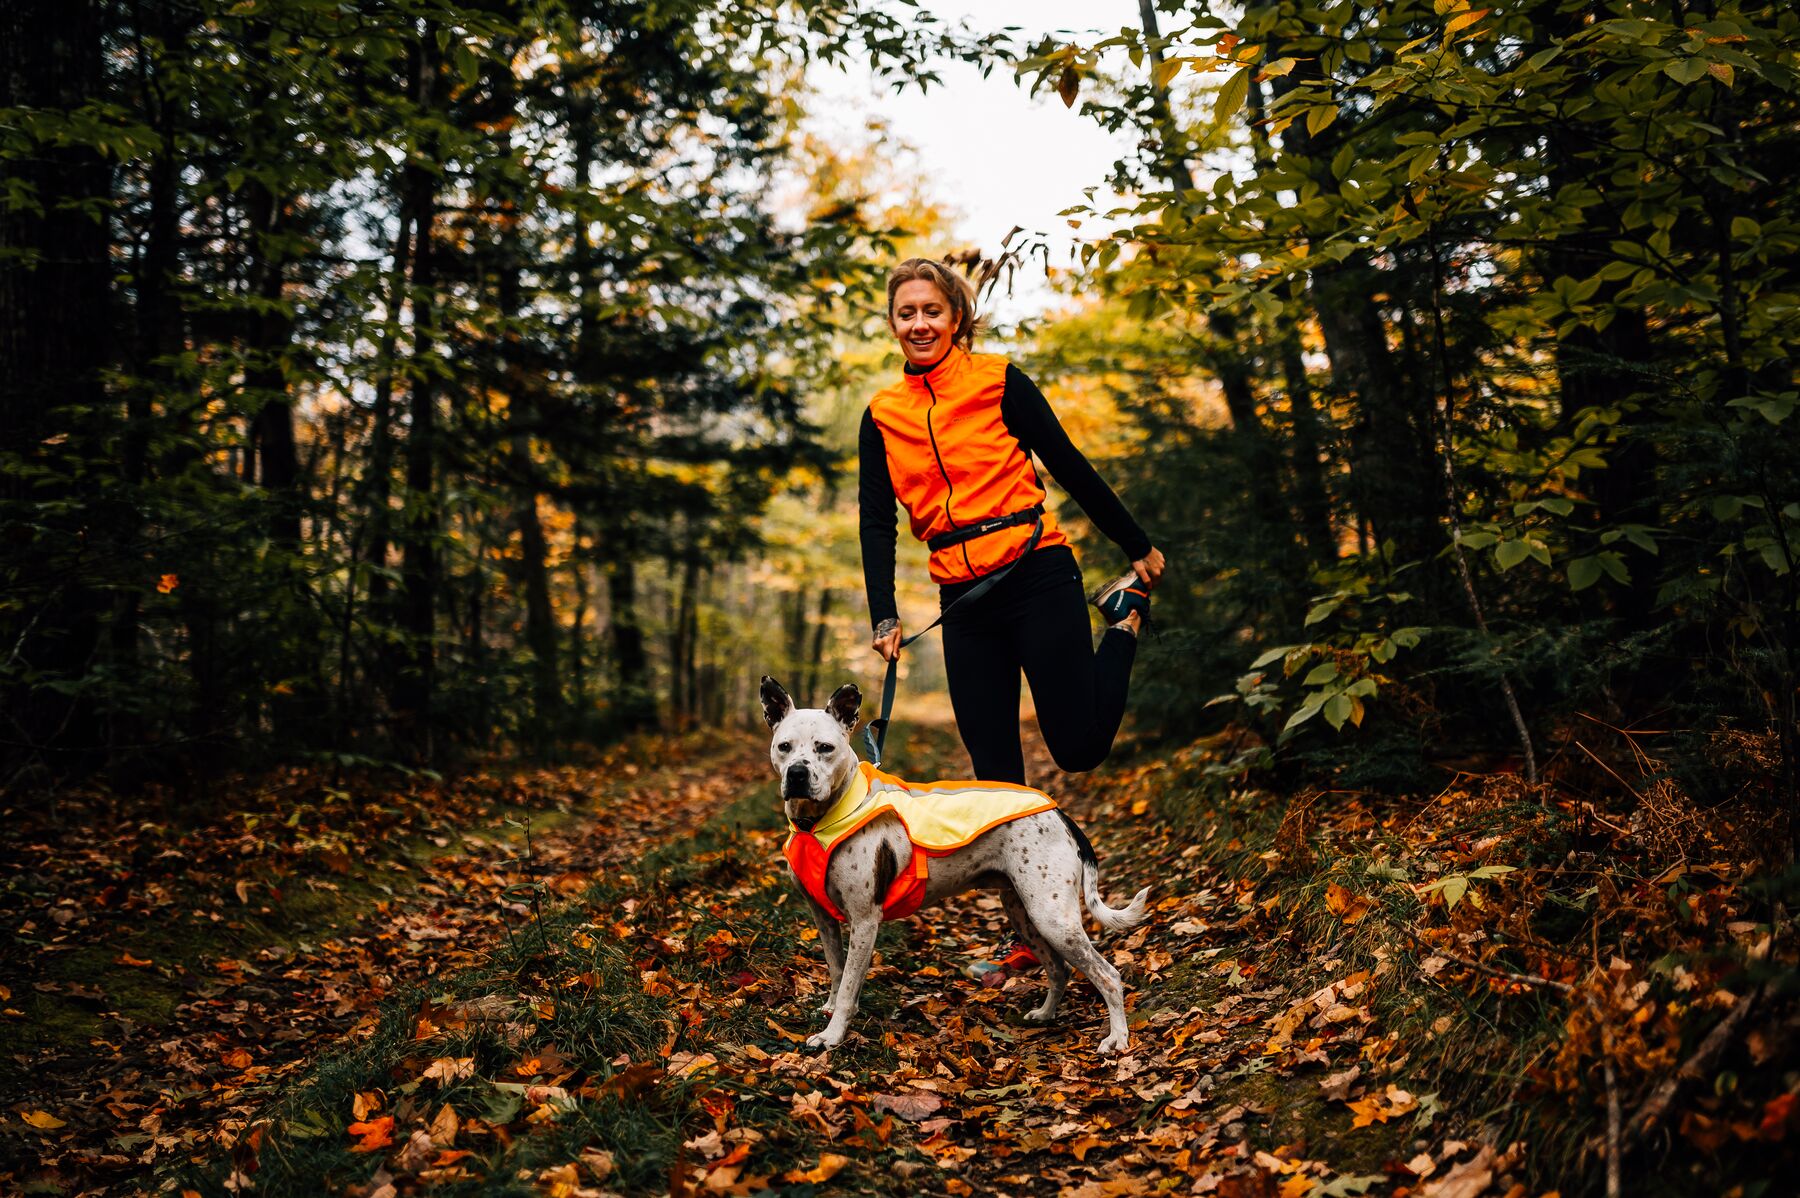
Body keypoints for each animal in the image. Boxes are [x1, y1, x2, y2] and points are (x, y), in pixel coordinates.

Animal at [759, 676, 1152, 1050]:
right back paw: (1045, 1014)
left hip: (1054, 919)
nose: (796, 773)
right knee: (1058, 970)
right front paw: (828, 1012)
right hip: (1025, 913)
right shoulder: (823, 918)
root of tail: (1059, 813)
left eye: (825, 748)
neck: (819, 820)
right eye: (784, 747)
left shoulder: (865, 920)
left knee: (1108, 976)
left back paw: (1118, 1039)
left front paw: (833, 1035)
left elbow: (848, 988)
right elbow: (837, 973)